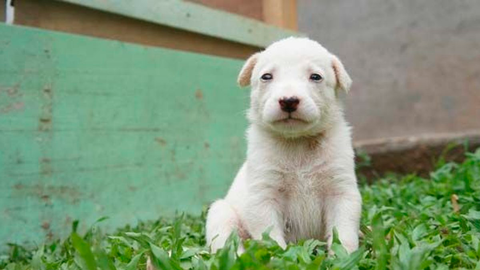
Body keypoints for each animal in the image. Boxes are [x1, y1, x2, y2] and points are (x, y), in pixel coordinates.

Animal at [204, 37, 362, 254]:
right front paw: (277, 256)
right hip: (220, 214)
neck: (297, 142)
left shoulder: (341, 191)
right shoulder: (263, 195)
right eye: (266, 76)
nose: (288, 101)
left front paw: (343, 256)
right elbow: (270, 237)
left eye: (315, 77)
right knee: (227, 243)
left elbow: (344, 231)